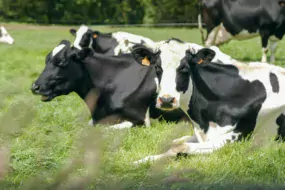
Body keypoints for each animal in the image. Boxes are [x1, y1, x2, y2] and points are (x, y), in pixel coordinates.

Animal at [134, 47, 284, 165]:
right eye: (157, 68)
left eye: (184, 68)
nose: (166, 100)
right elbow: (173, 146)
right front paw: (141, 161)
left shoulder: (236, 137)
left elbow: (181, 147)